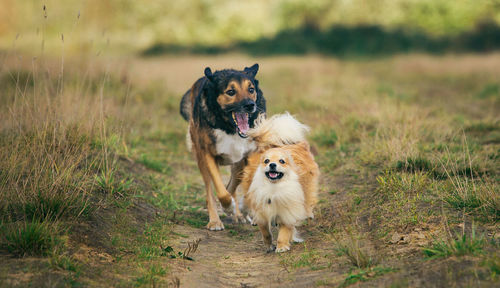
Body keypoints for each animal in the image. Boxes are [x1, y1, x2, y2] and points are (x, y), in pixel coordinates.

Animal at [180, 64, 266, 231]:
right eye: (231, 92)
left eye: (251, 89)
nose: (250, 105)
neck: (229, 128)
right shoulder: (208, 155)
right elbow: (221, 192)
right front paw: (228, 207)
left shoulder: (251, 155)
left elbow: (245, 188)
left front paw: (244, 211)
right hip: (201, 159)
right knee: (211, 192)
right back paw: (215, 220)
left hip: (239, 165)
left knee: (232, 185)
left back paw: (239, 214)